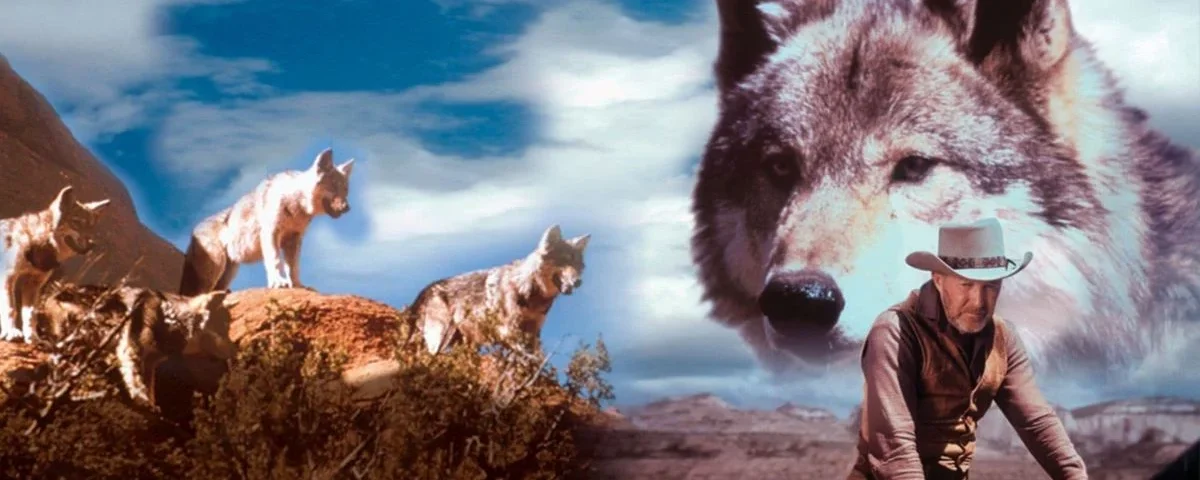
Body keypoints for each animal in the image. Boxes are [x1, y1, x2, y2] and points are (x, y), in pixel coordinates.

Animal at [0, 186, 111, 343]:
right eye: (76, 222)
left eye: (91, 227)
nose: (92, 244)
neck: (40, 244)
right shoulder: (8, 277)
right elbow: (11, 307)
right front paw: (11, 332)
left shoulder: (33, 286)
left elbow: (30, 315)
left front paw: (33, 337)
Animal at [178, 147, 354, 296]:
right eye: (334, 186)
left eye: (345, 190)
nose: (348, 208)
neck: (295, 203)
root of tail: (193, 232)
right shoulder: (271, 233)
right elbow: (276, 260)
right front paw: (279, 283)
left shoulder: (294, 240)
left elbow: (293, 267)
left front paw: (298, 285)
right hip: (217, 265)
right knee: (198, 293)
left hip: (231, 270)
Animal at [409, 225, 590, 355]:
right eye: (564, 261)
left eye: (579, 266)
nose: (578, 282)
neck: (529, 292)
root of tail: (426, 289)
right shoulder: (509, 332)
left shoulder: (533, 334)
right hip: (440, 340)